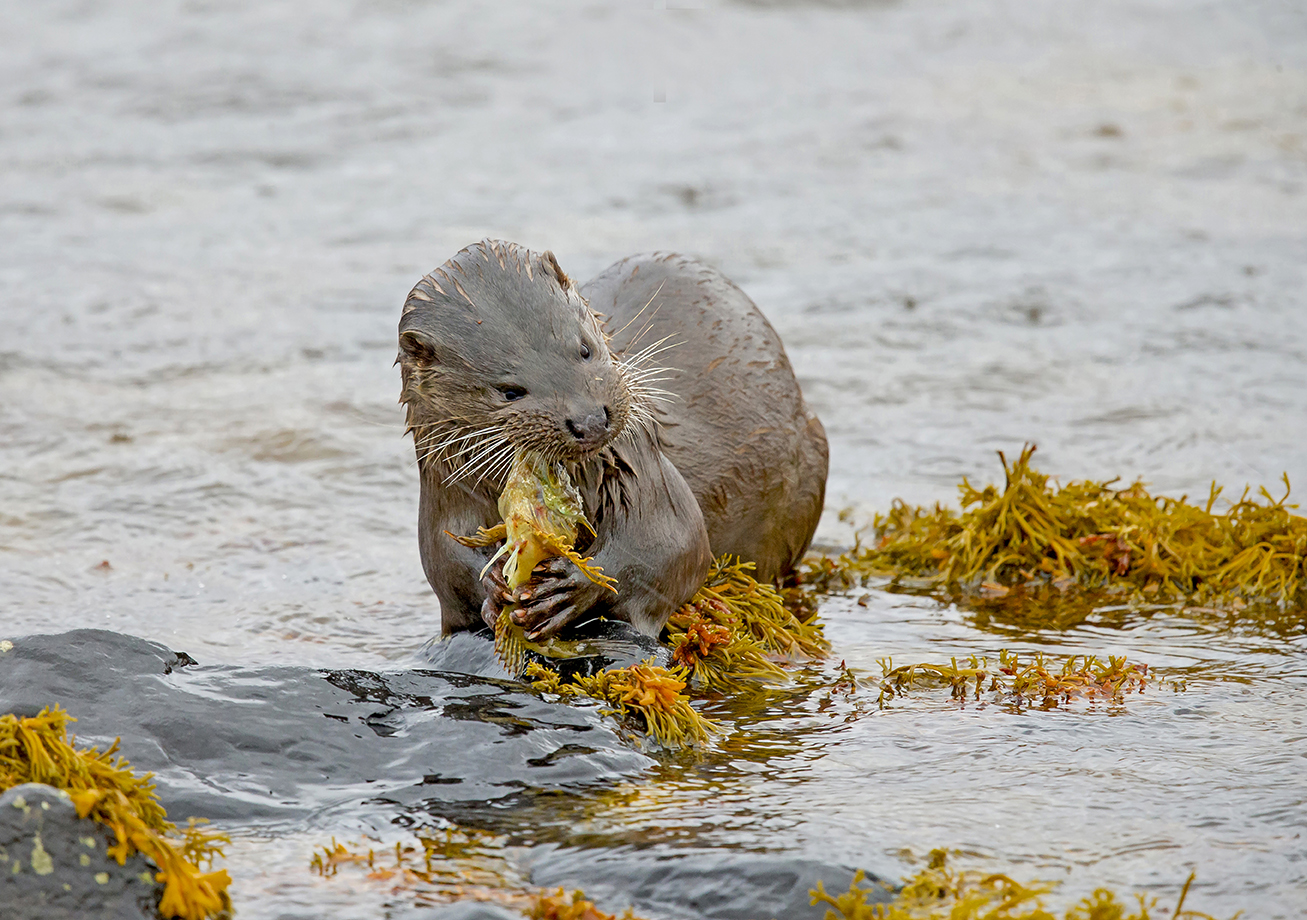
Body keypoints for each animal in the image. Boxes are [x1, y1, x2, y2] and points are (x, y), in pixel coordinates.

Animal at [397, 240, 826, 640]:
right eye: (510, 391)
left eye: (583, 349)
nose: (589, 420)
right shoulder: (446, 486)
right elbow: (446, 559)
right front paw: (491, 585)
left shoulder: (641, 464)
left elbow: (670, 544)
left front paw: (571, 587)